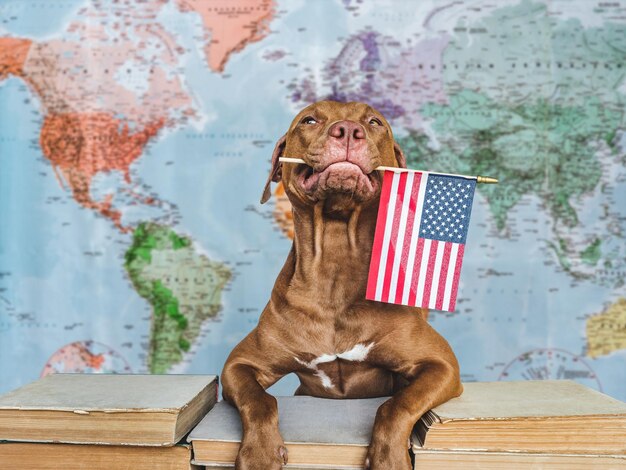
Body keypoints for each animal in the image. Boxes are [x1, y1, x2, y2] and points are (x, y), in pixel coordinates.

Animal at [221, 102, 458, 470]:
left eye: (374, 122)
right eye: (309, 119)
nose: (347, 130)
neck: (335, 261)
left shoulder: (441, 365)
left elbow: (396, 404)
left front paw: (388, 457)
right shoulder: (240, 366)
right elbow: (259, 400)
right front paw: (259, 453)